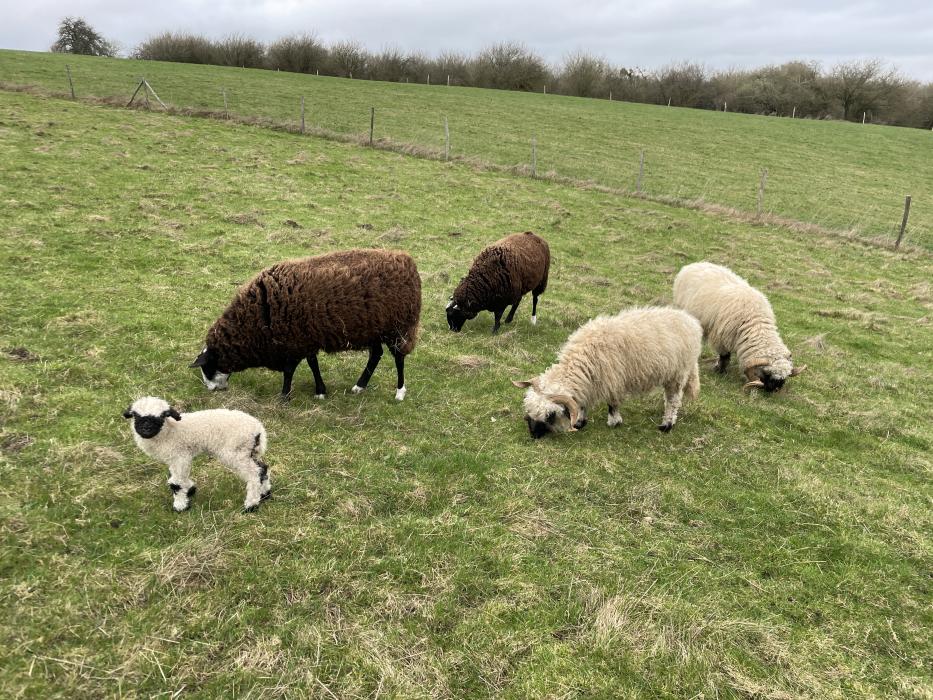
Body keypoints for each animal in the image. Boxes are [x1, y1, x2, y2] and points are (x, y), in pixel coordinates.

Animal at [122, 396, 272, 512]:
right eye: (136, 416)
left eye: (162, 416)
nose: (146, 429)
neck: (168, 432)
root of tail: (259, 430)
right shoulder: (178, 458)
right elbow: (179, 477)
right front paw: (190, 489)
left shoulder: (180, 455)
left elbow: (176, 482)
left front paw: (180, 506)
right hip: (247, 452)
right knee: (262, 468)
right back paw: (264, 493)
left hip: (234, 452)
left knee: (254, 474)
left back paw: (251, 505)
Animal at [191, 247, 420, 400]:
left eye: (207, 368)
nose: (210, 389)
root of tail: (408, 261)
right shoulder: (305, 337)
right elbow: (312, 364)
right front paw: (320, 391)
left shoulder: (294, 342)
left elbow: (290, 369)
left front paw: (284, 396)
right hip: (372, 328)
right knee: (376, 354)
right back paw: (359, 386)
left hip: (399, 326)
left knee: (399, 358)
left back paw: (400, 392)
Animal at [510, 306, 700, 438]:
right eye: (529, 409)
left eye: (550, 415)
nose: (533, 435)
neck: (583, 357)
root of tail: (690, 320)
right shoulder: (590, 382)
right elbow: (582, 402)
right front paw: (580, 421)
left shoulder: (614, 380)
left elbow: (612, 403)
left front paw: (614, 422)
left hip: (678, 373)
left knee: (673, 400)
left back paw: (667, 424)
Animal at [672, 262, 804, 394]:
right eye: (767, 373)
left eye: (784, 377)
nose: (773, 390)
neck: (755, 322)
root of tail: (696, 264)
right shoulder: (721, 339)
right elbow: (724, 356)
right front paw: (720, 370)